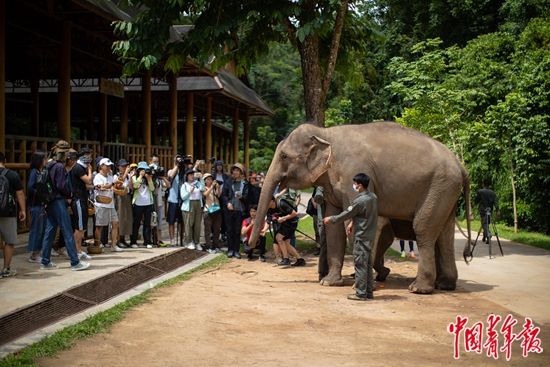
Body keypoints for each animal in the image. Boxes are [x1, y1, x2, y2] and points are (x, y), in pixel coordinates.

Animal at [251, 122, 474, 294]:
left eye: (284, 156)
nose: (255, 244)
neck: (325, 134)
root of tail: (461, 165)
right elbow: (334, 226)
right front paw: (329, 283)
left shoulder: (354, 173)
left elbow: (355, 222)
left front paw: (363, 285)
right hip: (446, 191)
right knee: (444, 233)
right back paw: (444, 285)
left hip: (439, 187)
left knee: (424, 229)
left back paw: (419, 289)